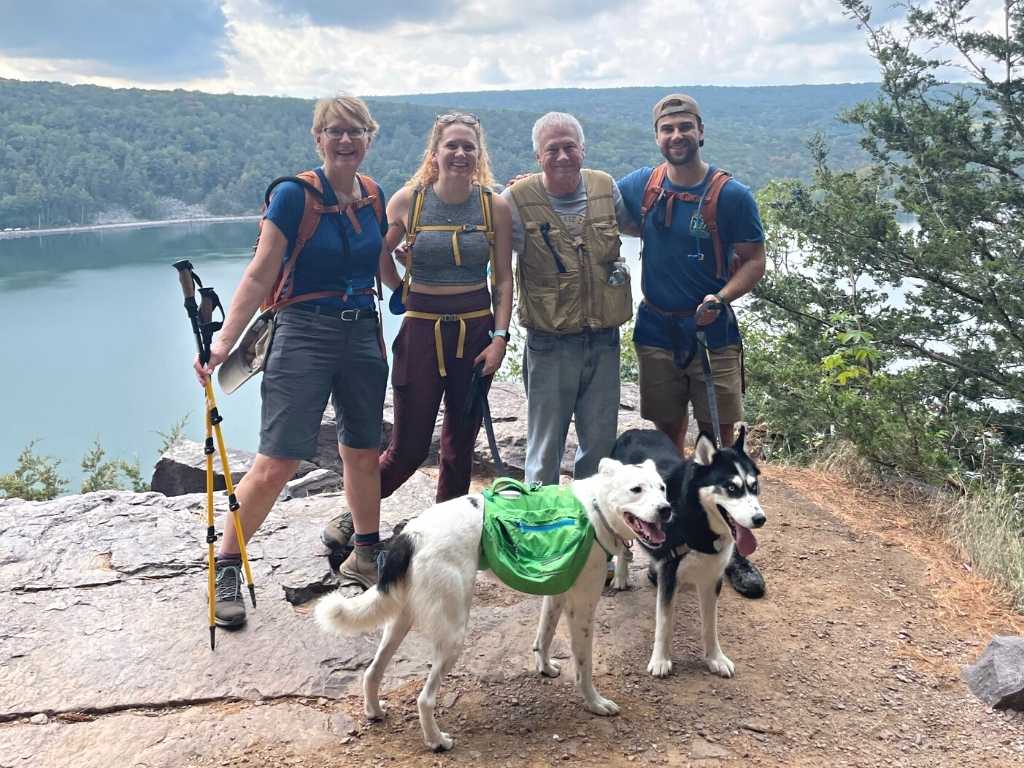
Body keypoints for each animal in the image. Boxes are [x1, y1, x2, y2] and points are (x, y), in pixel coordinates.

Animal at [315, 460, 675, 753]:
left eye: (662, 488)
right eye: (636, 490)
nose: (667, 510)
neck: (595, 508)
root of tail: (411, 535)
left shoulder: (556, 594)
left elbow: (543, 637)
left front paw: (545, 667)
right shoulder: (582, 608)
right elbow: (584, 666)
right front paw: (594, 702)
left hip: (399, 620)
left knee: (372, 672)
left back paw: (375, 712)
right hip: (453, 634)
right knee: (425, 698)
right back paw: (437, 741)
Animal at [610, 434, 765, 679]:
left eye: (754, 486)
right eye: (731, 487)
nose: (760, 519)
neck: (696, 515)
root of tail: (633, 431)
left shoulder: (712, 578)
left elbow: (710, 625)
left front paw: (715, 658)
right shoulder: (669, 572)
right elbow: (664, 622)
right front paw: (660, 660)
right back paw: (621, 576)